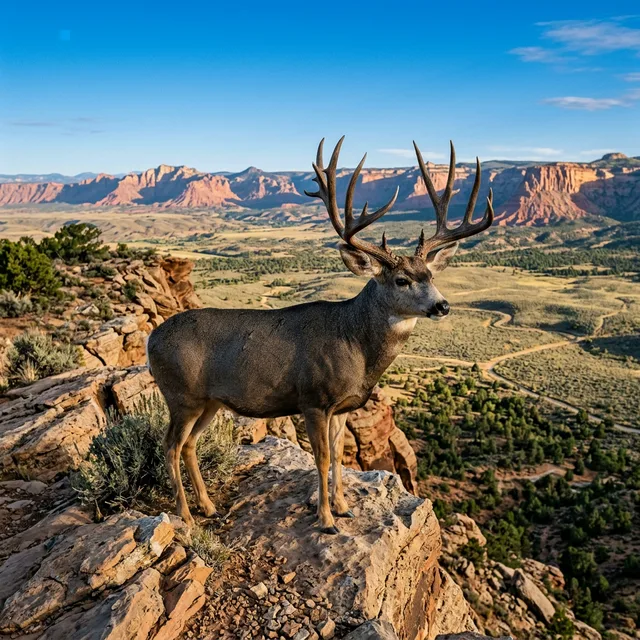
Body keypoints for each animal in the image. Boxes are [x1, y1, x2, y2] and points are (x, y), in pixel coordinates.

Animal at [146, 136, 494, 533]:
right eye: (402, 280)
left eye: (431, 275)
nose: (442, 305)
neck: (355, 344)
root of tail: (150, 340)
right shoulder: (313, 400)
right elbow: (323, 459)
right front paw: (326, 519)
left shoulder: (343, 408)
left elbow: (340, 457)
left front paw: (343, 507)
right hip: (181, 395)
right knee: (170, 445)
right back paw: (185, 514)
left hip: (209, 401)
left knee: (189, 445)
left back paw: (207, 506)